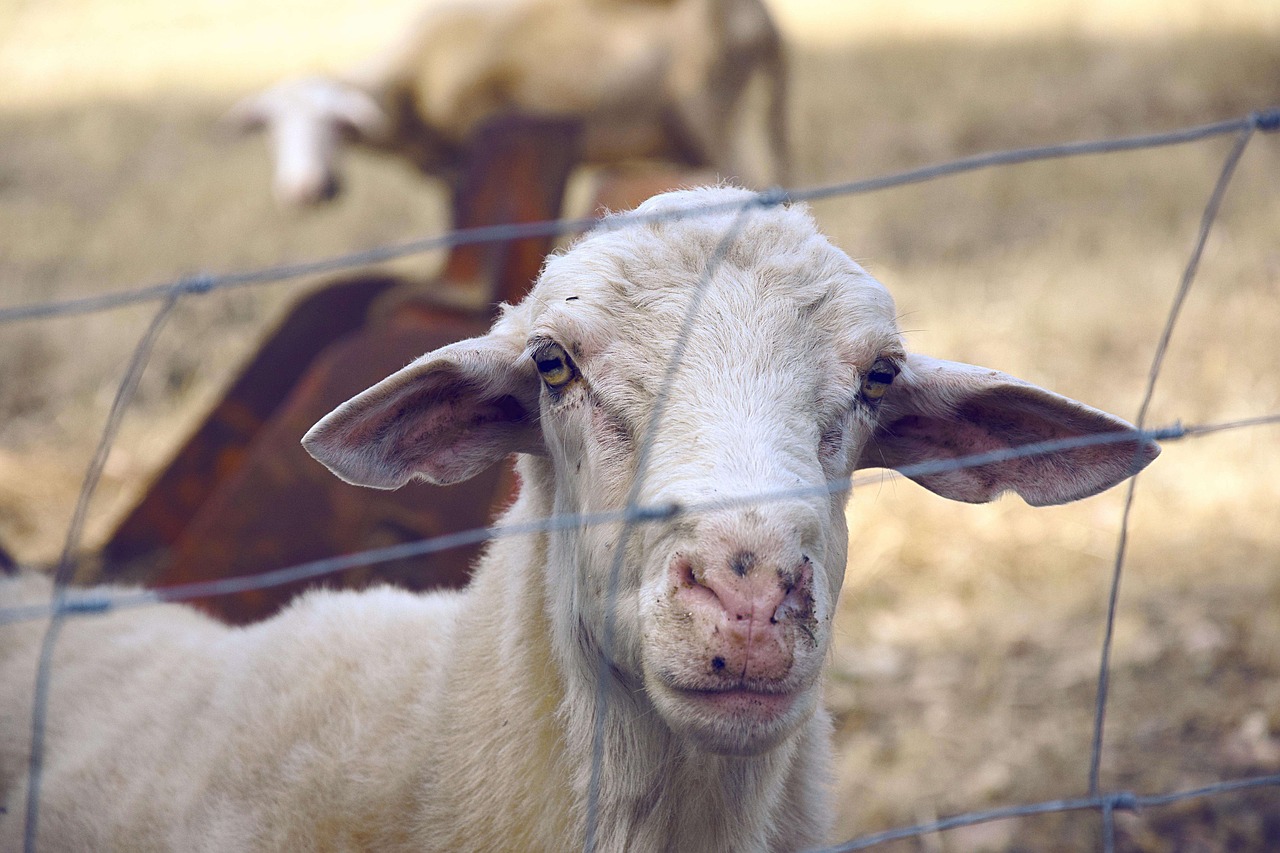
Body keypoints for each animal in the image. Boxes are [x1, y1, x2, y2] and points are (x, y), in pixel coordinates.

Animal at [229, 0, 788, 204]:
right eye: (272, 130)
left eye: (335, 124)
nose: (305, 190)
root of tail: (760, 17)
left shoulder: (467, 160)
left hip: (715, 117)